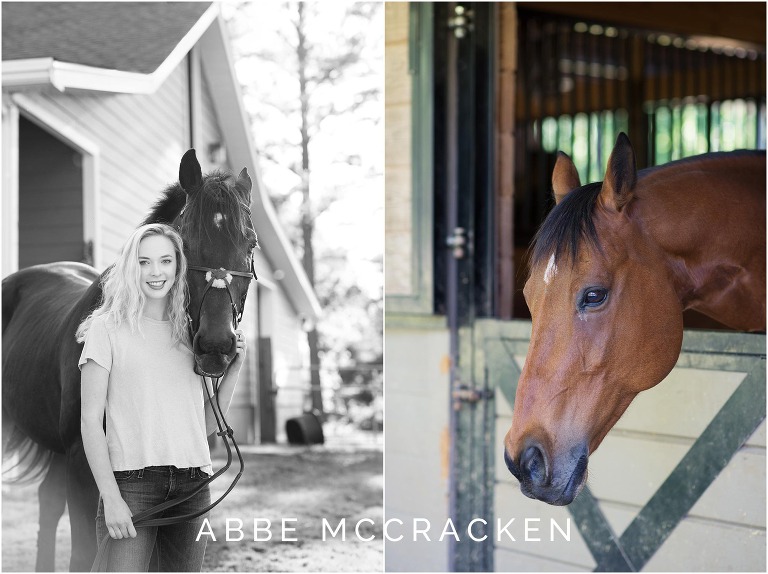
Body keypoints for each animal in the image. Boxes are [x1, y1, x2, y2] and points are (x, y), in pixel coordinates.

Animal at [0, 151, 260, 572]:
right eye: (186, 242)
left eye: (250, 242)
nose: (216, 346)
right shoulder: (82, 465)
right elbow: (84, 554)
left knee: (47, 503)